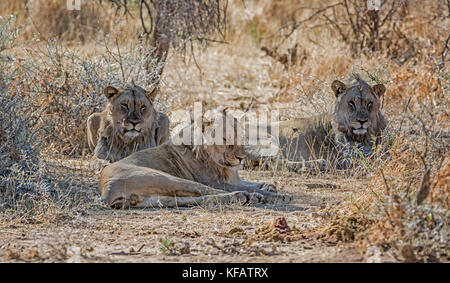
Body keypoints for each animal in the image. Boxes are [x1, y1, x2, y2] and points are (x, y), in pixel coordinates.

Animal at [98, 112, 292, 209]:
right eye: (225, 139)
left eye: (242, 138)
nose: (241, 158)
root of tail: (105, 186)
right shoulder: (219, 182)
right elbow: (247, 187)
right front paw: (277, 194)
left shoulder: (234, 178)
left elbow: (253, 182)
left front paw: (268, 186)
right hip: (166, 178)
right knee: (211, 192)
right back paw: (247, 197)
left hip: (156, 198)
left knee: (194, 199)